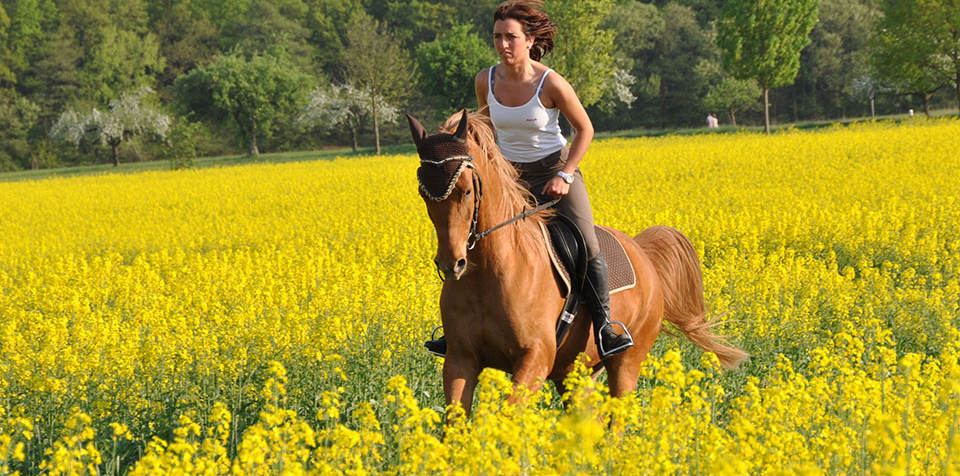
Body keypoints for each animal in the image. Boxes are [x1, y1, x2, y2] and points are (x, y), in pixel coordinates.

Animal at [408, 109, 748, 414]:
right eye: (423, 194)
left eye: (465, 191)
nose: (452, 263)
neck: (489, 272)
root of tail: (642, 252)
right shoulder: (460, 359)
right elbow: (455, 425)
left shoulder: (535, 357)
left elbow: (505, 417)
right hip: (576, 372)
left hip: (626, 362)